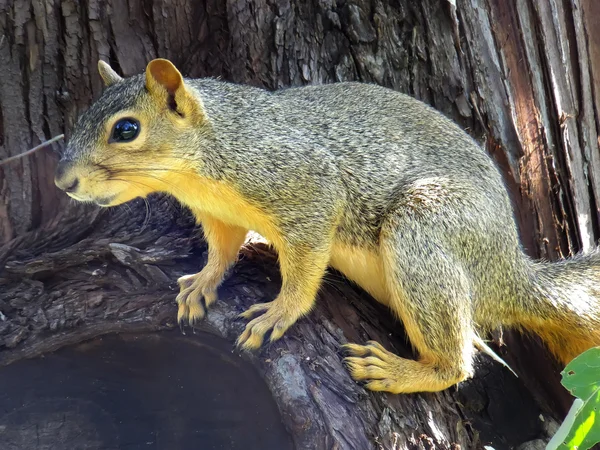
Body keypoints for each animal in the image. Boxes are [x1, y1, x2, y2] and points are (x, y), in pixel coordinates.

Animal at [55, 59, 600, 394]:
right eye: (79, 118)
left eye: (127, 129)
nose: (63, 181)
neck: (209, 155)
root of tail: (511, 274)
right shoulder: (221, 217)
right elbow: (222, 251)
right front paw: (203, 283)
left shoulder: (309, 190)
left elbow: (304, 267)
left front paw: (279, 312)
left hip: (425, 229)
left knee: (457, 363)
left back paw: (401, 371)